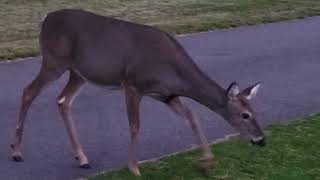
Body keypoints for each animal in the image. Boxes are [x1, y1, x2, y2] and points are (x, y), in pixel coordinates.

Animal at [10, 8, 264, 176]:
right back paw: (16, 152)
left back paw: (81, 158)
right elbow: (135, 125)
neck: (175, 73)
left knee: (63, 100)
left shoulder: (167, 95)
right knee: (28, 91)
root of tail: (45, 19)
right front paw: (134, 168)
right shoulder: (132, 84)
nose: (261, 140)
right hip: (54, 61)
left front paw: (207, 161)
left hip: (78, 73)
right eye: (245, 115)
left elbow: (192, 116)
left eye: (255, 110)